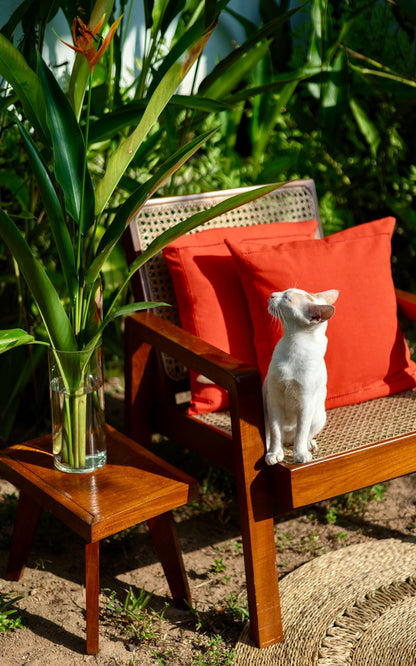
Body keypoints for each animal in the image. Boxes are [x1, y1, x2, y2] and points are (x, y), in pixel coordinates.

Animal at [264, 288, 338, 464]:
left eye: (287, 298)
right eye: (284, 291)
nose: (272, 295)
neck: (293, 347)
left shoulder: (306, 402)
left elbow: (301, 432)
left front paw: (300, 454)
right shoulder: (274, 399)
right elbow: (275, 431)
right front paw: (274, 453)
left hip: (319, 415)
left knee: (302, 435)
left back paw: (308, 445)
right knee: (273, 434)